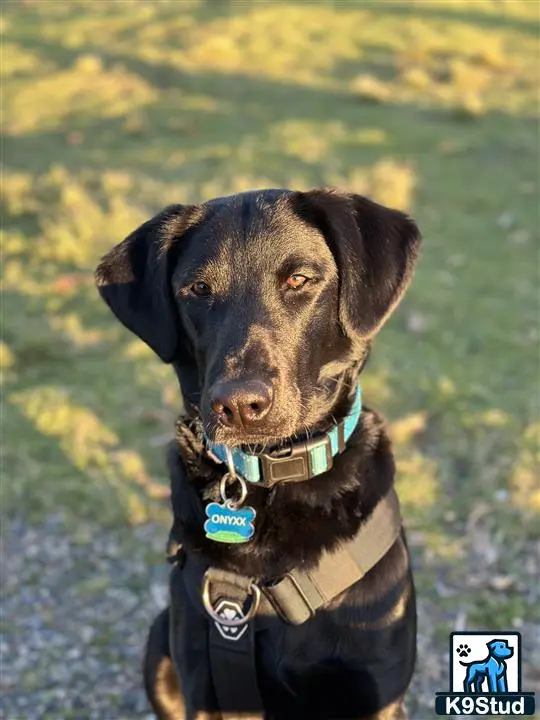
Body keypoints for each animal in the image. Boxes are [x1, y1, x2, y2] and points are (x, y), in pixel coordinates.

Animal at [95, 188, 420, 716]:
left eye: (299, 280)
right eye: (198, 289)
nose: (238, 405)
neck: (271, 478)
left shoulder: (377, 689)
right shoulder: (205, 685)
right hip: (157, 645)